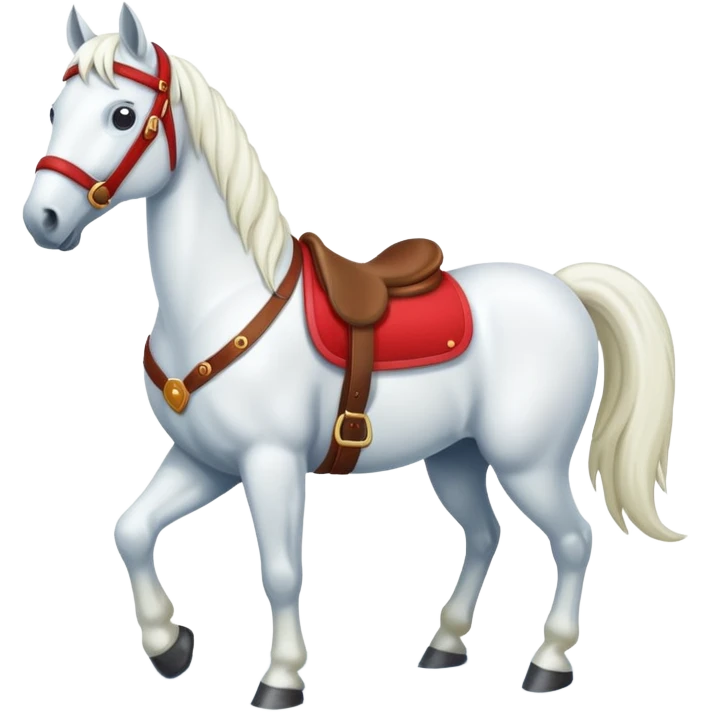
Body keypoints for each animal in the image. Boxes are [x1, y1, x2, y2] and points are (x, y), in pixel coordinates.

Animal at [22, 3, 682, 708]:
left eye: (123, 114)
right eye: (56, 107)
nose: (43, 218)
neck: (224, 300)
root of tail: (563, 287)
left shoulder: (271, 462)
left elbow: (282, 570)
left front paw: (282, 678)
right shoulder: (205, 460)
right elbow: (131, 529)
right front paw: (170, 646)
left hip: (529, 461)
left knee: (575, 540)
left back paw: (550, 664)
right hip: (456, 457)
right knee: (485, 534)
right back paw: (444, 646)